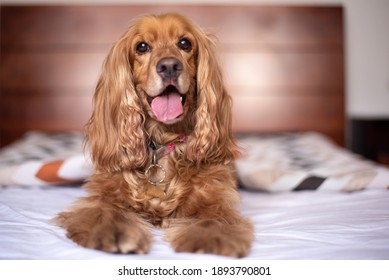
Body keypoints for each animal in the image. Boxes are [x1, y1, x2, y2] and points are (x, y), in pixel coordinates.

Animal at [55, 12, 255, 258]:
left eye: (185, 43)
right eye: (142, 47)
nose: (169, 66)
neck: (163, 142)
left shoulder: (215, 197)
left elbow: (213, 219)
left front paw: (209, 239)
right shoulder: (104, 194)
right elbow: (105, 211)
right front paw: (114, 232)